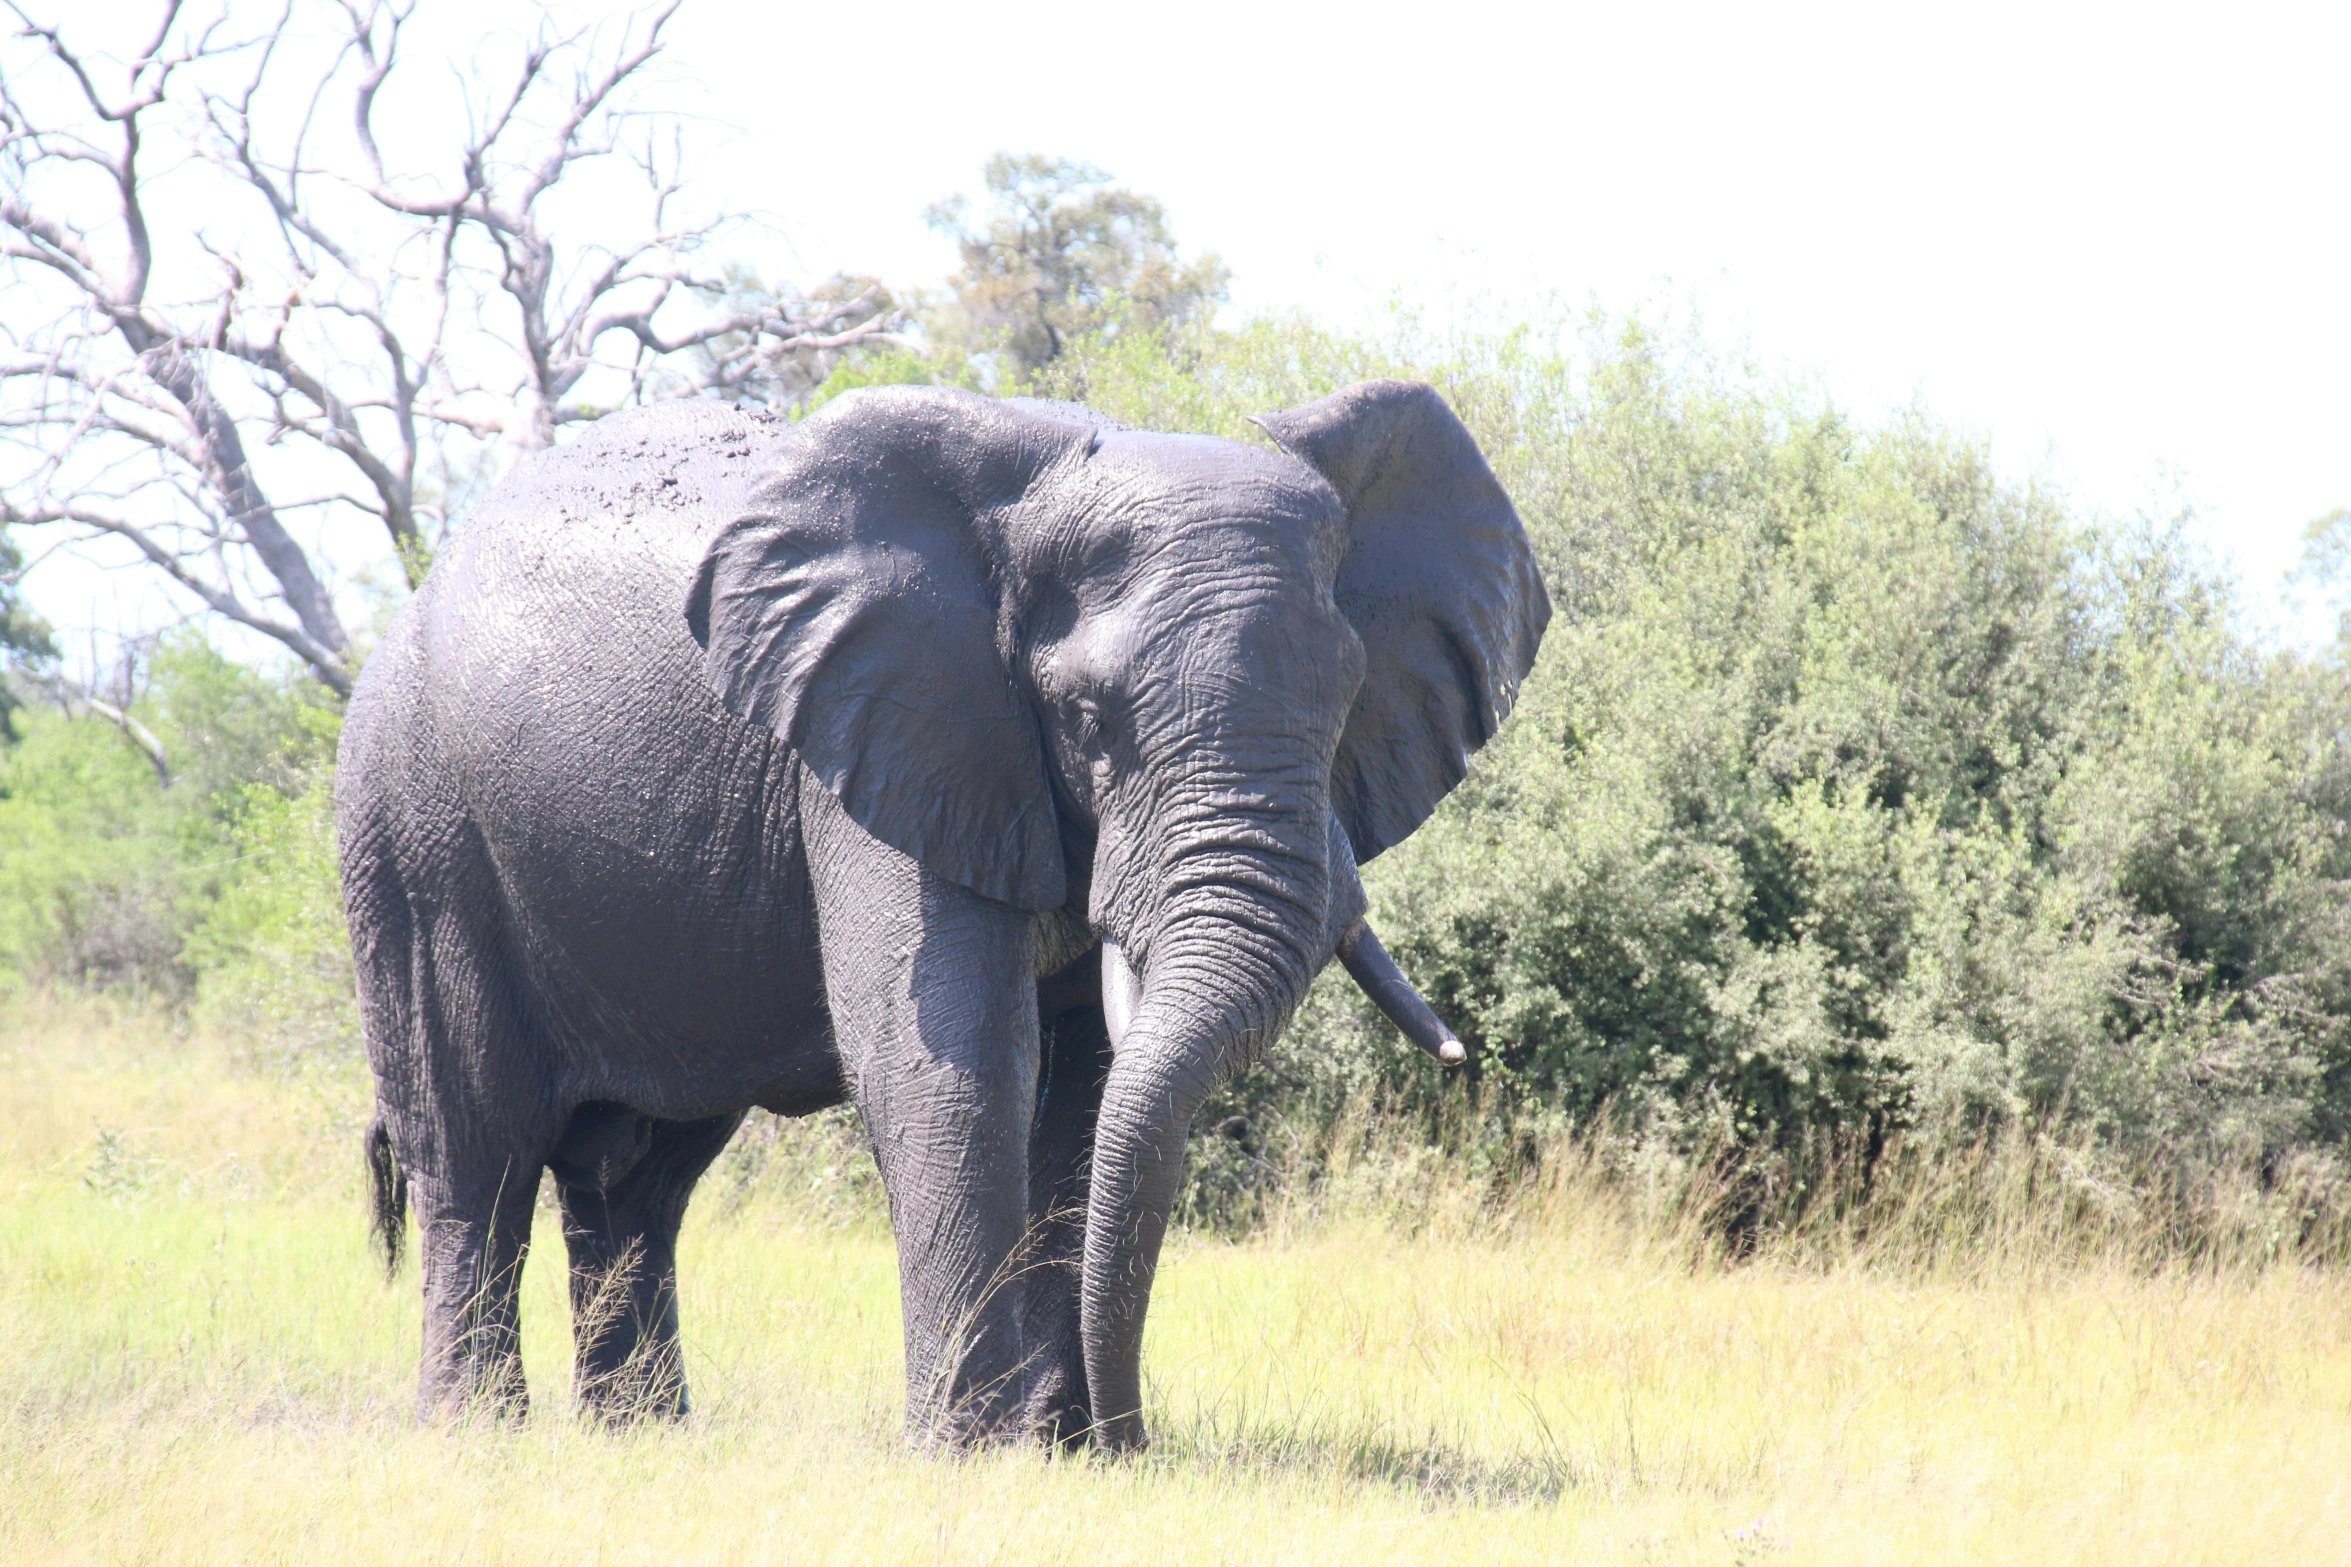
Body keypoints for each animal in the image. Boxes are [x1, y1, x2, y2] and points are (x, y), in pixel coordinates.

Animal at [336, 375, 1542, 1447]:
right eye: (1087, 718)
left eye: (1344, 703)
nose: (1133, 1437)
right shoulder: (884, 727)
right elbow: (955, 1057)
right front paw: (969, 1450)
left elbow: (1084, 1089)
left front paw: (1055, 1448)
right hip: (411, 832)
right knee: (475, 1153)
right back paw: (475, 1434)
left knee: (638, 1174)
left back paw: (641, 1438)